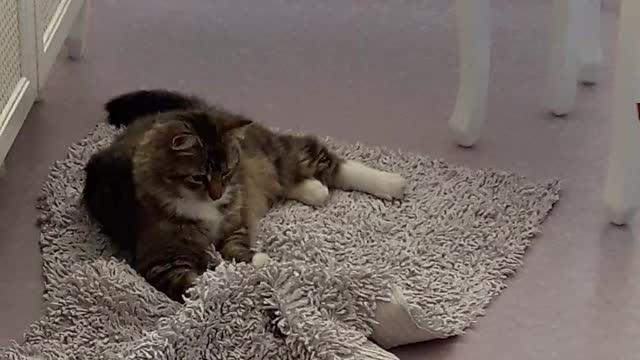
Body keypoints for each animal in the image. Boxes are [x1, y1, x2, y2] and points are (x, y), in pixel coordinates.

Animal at [84, 89, 404, 300]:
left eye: (226, 172)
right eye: (198, 177)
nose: (217, 194)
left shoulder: (233, 224)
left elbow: (235, 248)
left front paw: (254, 263)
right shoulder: (160, 260)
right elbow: (195, 281)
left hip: (276, 152)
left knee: (327, 160)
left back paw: (391, 182)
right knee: (292, 180)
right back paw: (315, 190)